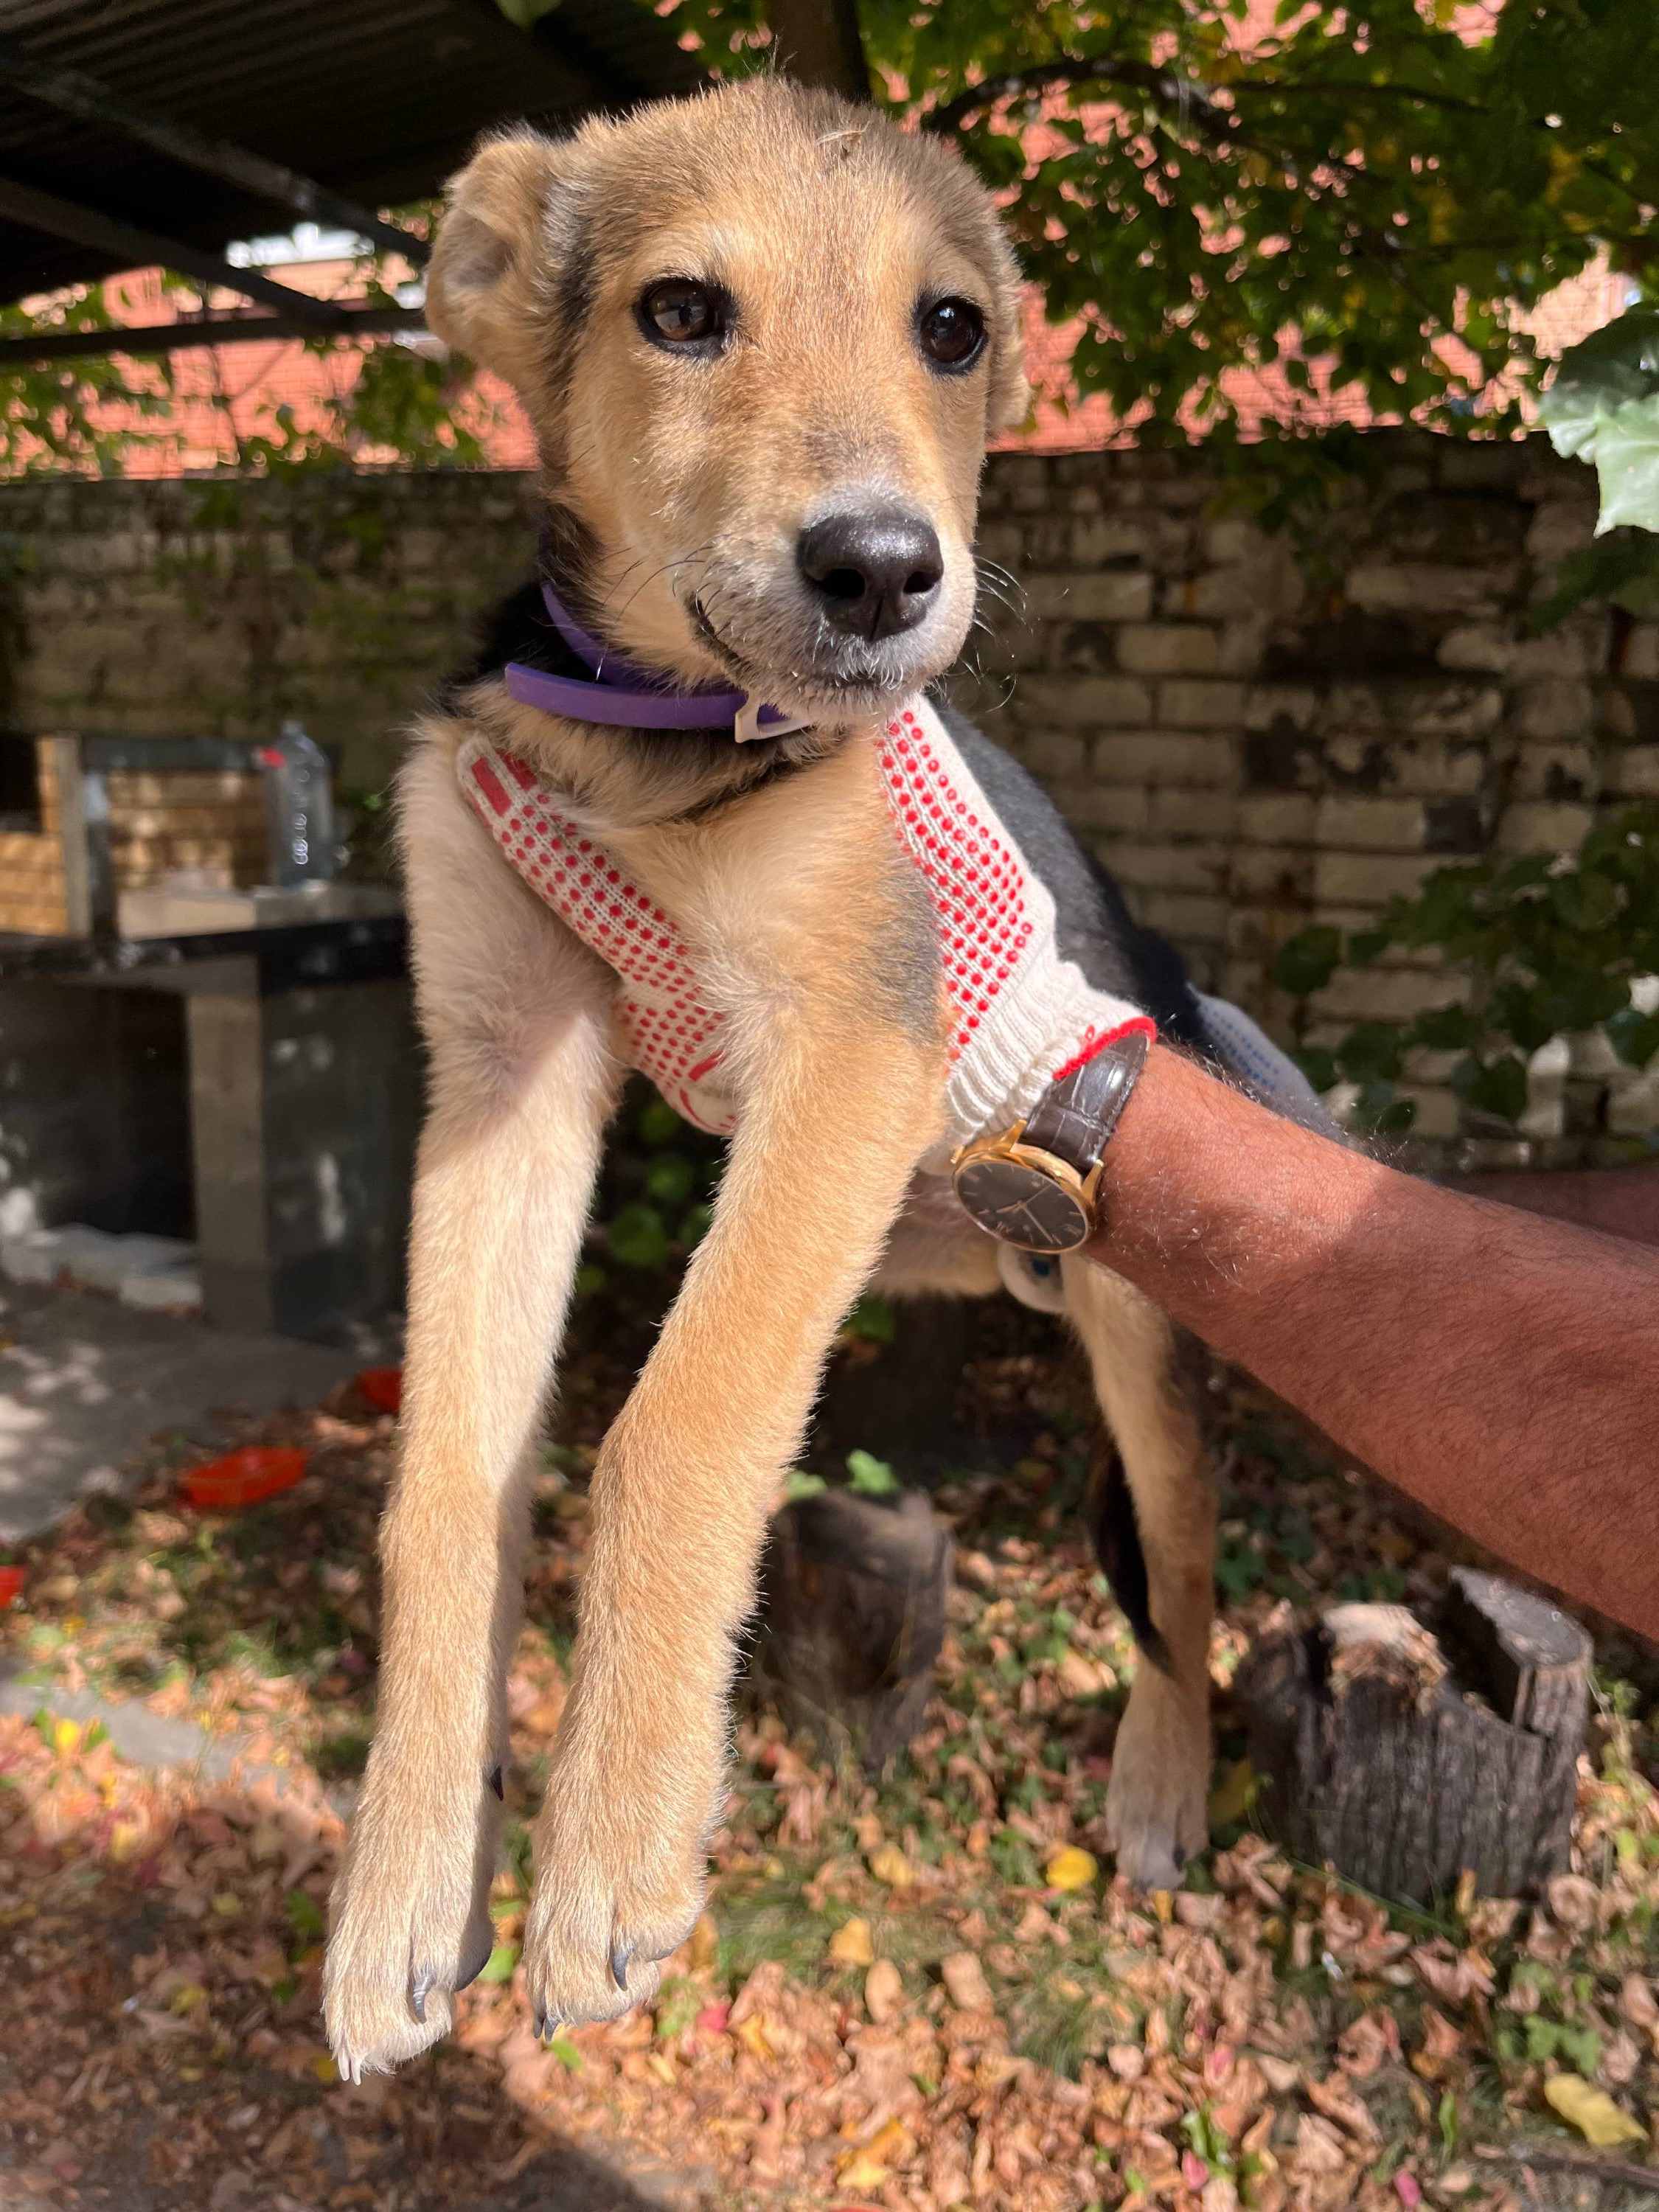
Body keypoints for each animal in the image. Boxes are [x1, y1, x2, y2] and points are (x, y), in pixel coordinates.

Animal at [324, 76, 1320, 2080]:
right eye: (682, 312)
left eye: (951, 329)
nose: (878, 569)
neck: (656, 751)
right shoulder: (498, 1073)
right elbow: (450, 1477)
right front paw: (401, 1893)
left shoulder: (854, 1045)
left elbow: (679, 1417)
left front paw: (611, 1847)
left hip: (1146, 1351)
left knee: (1178, 1577)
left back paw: (1163, 1784)